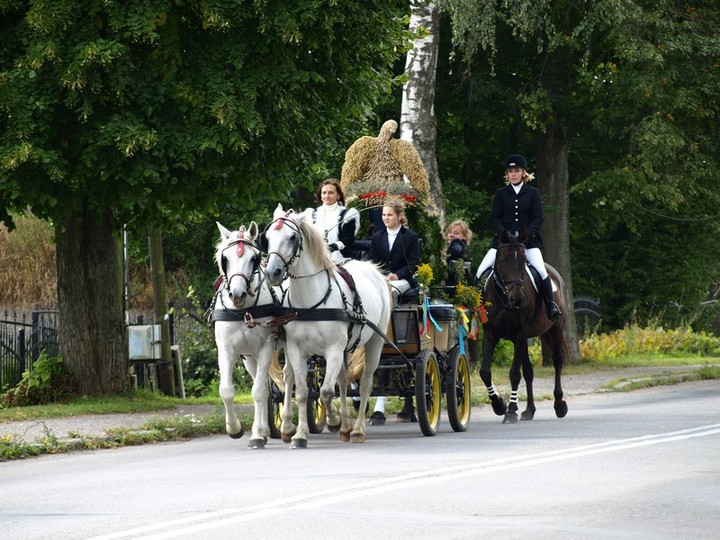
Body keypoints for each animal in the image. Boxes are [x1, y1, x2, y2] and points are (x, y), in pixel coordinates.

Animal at [211, 221, 290, 450]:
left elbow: (258, 392)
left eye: (253, 258)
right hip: (249, 358)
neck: (244, 311)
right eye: (225, 259)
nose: (237, 294)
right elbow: (227, 390)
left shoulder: (265, 348)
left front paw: (255, 434)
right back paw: (264, 430)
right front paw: (235, 429)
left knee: (289, 381)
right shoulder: (226, 349)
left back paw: (286, 427)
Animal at [262, 202, 390, 448]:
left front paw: (333, 420)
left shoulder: (333, 350)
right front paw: (300, 435)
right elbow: (303, 392)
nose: (272, 272)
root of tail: (374, 269)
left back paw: (357, 429)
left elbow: (326, 392)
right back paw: (345, 426)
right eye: (268, 237)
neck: (310, 301)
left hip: (374, 343)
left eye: (292, 237)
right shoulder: (297, 350)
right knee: (341, 380)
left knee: (365, 384)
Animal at [478, 230, 568, 424]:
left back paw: (559, 405)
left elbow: (514, 374)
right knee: (529, 371)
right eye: (503, 259)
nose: (517, 298)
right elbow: (485, 372)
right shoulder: (491, 333)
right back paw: (529, 410)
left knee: (557, 361)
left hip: (556, 330)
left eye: (523, 260)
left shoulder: (520, 334)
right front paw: (499, 405)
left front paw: (511, 410)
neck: (504, 299)